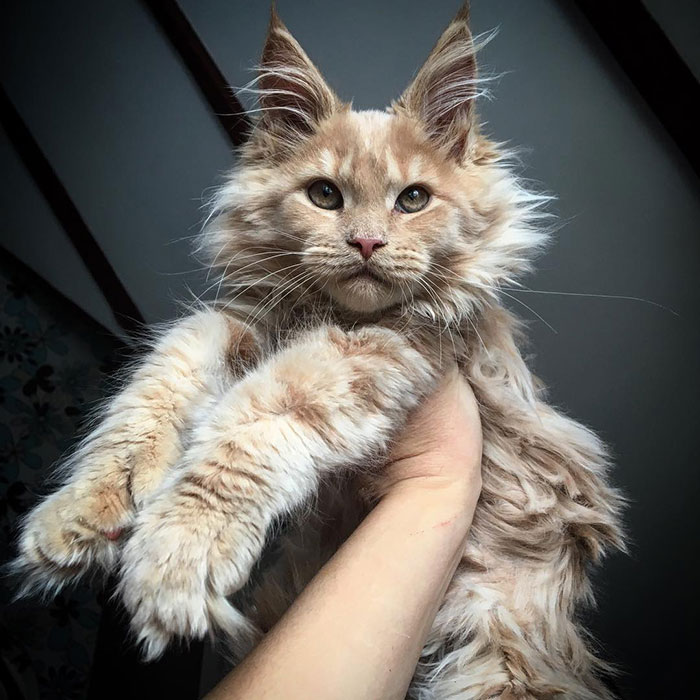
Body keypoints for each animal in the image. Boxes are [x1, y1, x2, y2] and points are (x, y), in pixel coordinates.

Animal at [10, 4, 624, 696]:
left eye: (413, 199)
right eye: (325, 195)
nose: (366, 243)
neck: (333, 315)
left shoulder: (375, 355)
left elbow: (245, 429)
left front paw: (177, 554)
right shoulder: (239, 326)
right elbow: (154, 391)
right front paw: (85, 510)